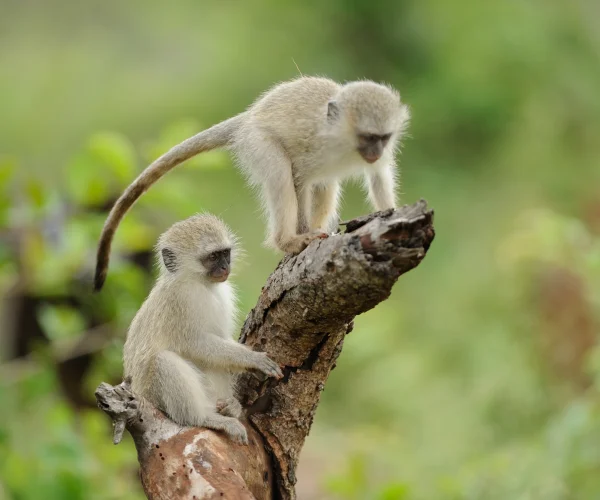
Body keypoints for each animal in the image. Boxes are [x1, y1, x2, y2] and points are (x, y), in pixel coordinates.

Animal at [95, 76, 412, 292]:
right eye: (368, 137)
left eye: (382, 138)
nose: (375, 151)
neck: (344, 141)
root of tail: (249, 117)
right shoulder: (313, 149)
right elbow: (298, 179)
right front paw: (302, 237)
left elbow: (379, 174)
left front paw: (390, 212)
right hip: (258, 142)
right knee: (282, 174)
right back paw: (287, 241)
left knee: (326, 184)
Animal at [124, 213, 284, 444]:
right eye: (213, 257)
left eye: (225, 253)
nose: (225, 268)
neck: (200, 284)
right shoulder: (182, 300)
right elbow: (195, 343)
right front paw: (253, 359)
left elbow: (221, 340)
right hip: (154, 397)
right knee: (165, 361)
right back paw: (205, 418)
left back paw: (229, 407)